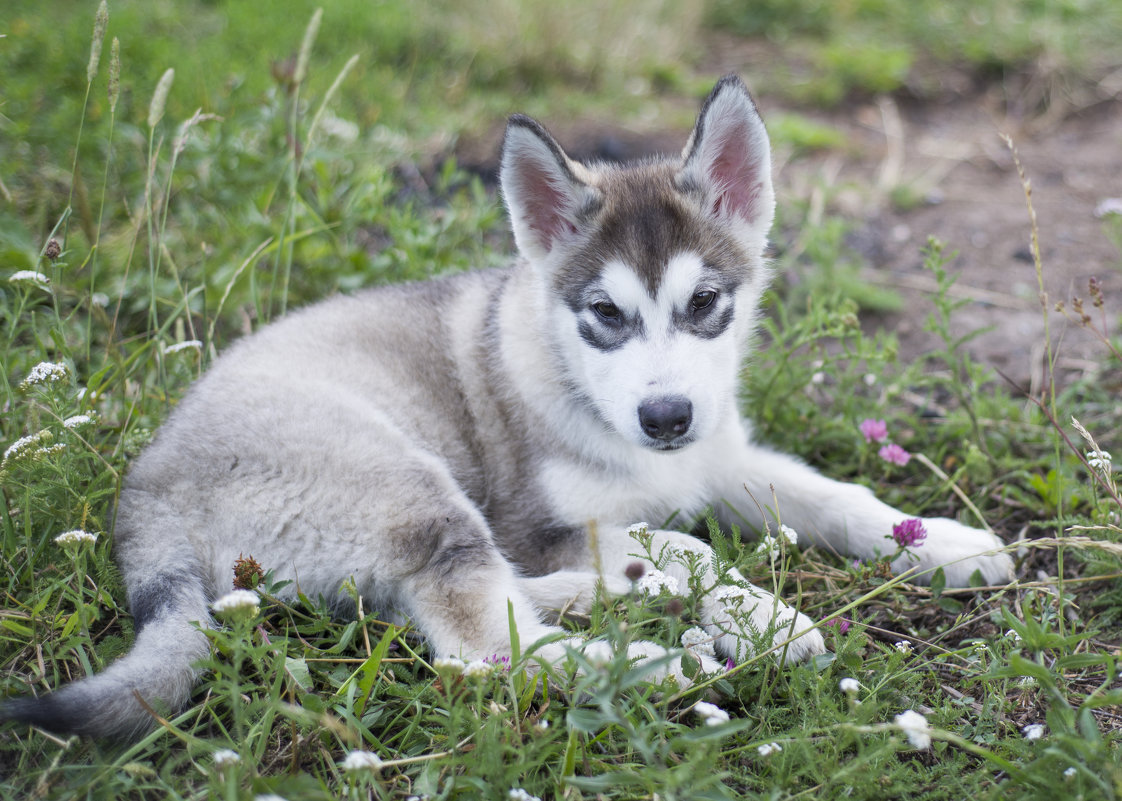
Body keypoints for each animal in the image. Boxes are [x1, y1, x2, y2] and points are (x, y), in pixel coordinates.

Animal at [2, 75, 1018, 735]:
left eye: (704, 304)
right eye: (605, 314)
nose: (666, 419)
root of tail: (145, 493)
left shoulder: (725, 457)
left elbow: (831, 494)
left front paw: (942, 542)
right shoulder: (538, 519)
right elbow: (686, 545)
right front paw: (763, 616)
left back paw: (622, 602)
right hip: (407, 485)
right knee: (480, 643)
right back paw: (650, 661)